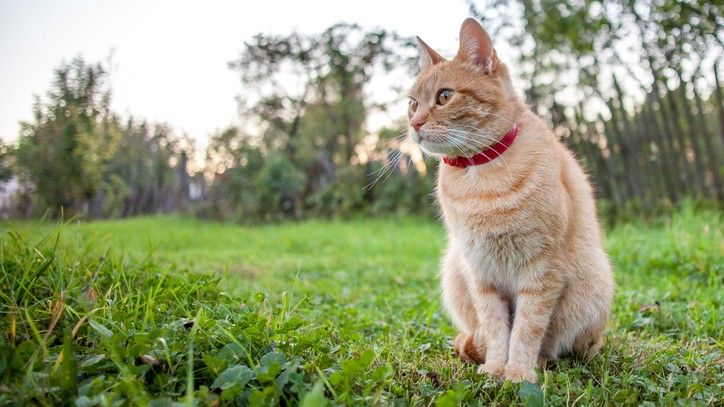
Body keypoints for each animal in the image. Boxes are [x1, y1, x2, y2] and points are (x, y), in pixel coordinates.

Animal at [408, 17, 612, 384]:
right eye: (413, 102)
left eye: (444, 96)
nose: (414, 124)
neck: (479, 176)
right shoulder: (481, 273)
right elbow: (495, 326)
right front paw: (494, 369)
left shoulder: (542, 269)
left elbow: (527, 328)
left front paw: (517, 373)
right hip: (454, 267)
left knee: (558, 345)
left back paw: (540, 363)